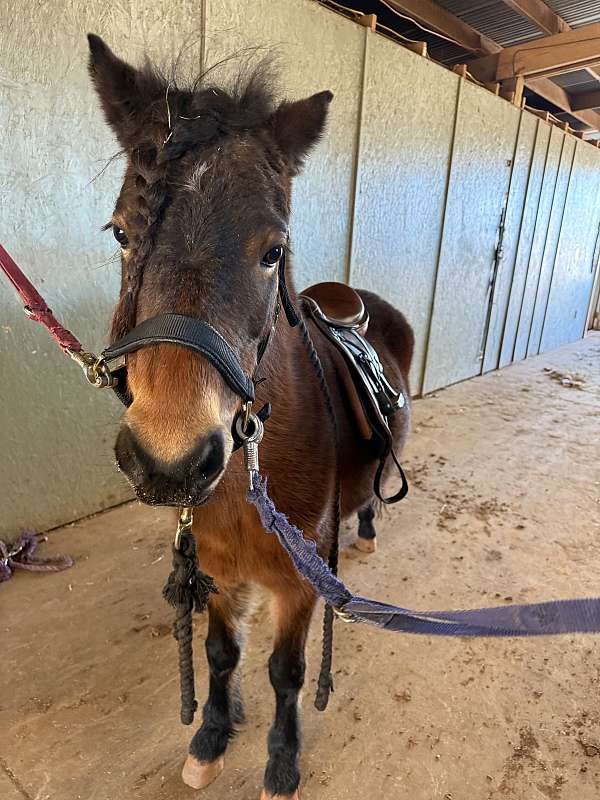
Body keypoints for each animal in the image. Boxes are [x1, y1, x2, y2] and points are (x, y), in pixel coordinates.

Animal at [87, 33, 414, 799]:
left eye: (272, 251)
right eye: (120, 233)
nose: (170, 460)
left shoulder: (297, 584)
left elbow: (286, 673)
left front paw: (281, 759)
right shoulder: (216, 569)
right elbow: (220, 654)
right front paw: (211, 735)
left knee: (370, 497)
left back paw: (365, 531)